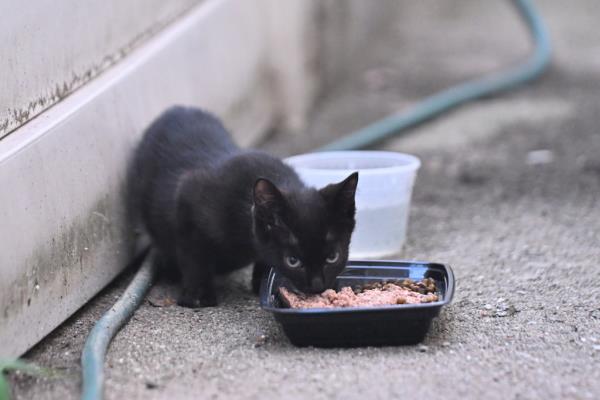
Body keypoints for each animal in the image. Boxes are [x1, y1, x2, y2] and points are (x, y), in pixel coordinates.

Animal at [127, 105, 356, 306]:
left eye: (333, 257)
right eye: (293, 261)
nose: (317, 286)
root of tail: (176, 109)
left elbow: (265, 257)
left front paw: (260, 283)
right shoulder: (187, 199)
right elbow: (194, 257)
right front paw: (197, 295)